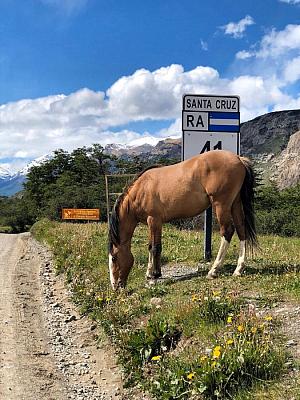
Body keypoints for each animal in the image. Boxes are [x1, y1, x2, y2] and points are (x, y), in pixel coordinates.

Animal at [108, 148, 258, 290]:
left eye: (114, 258)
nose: (115, 286)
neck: (141, 189)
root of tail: (238, 159)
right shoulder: (153, 223)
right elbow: (150, 246)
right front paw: (150, 272)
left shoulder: (154, 221)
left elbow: (156, 247)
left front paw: (155, 275)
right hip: (235, 203)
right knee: (241, 229)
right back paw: (238, 269)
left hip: (221, 204)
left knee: (227, 231)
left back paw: (214, 270)